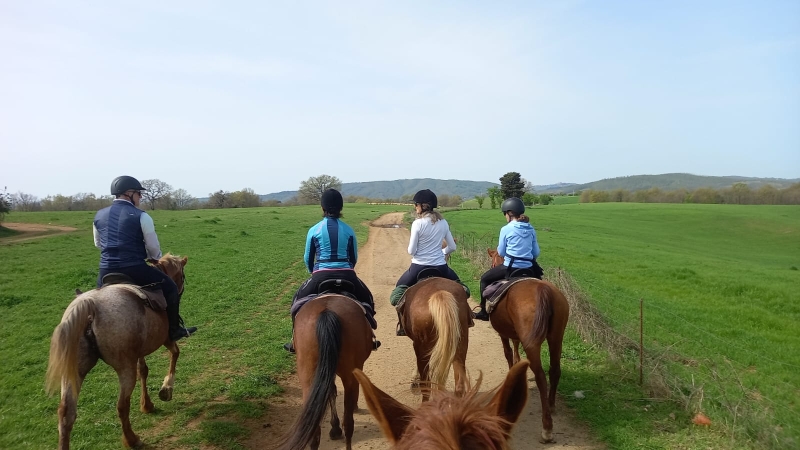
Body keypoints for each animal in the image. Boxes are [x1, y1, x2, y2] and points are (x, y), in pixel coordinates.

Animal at [46, 255, 189, 448]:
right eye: (182, 276)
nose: (180, 288)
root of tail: (91, 305)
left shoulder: (138, 352)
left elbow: (143, 371)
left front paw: (147, 404)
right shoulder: (167, 339)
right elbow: (175, 353)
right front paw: (166, 389)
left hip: (74, 370)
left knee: (65, 413)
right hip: (124, 368)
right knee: (122, 405)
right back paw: (132, 440)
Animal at [276, 294, 376, 450]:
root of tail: (326, 312)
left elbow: (331, 391)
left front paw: (335, 429)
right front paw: (336, 427)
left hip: (308, 377)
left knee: (314, 430)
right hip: (348, 375)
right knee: (348, 423)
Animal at [484, 250, 572, 442]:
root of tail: (544, 290)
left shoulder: (503, 333)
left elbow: (508, 352)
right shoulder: (515, 332)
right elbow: (515, 346)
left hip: (533, 343)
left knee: (540, 376)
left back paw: (547, 428)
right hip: (557, 337)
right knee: (555, 370)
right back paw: (551, 405)